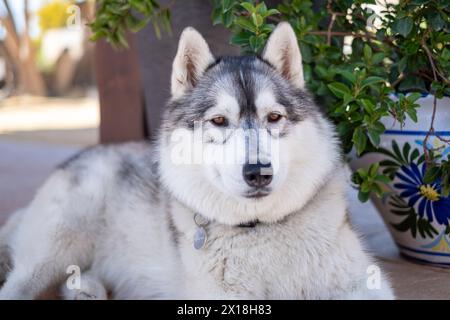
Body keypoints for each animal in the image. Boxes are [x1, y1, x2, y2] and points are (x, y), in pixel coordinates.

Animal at [0, 23, 394, 300]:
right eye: (219, 120)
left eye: (274, 118)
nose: (258, 173)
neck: (259, 229)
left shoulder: (364, 284)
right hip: (59, 241)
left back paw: (87, 289)